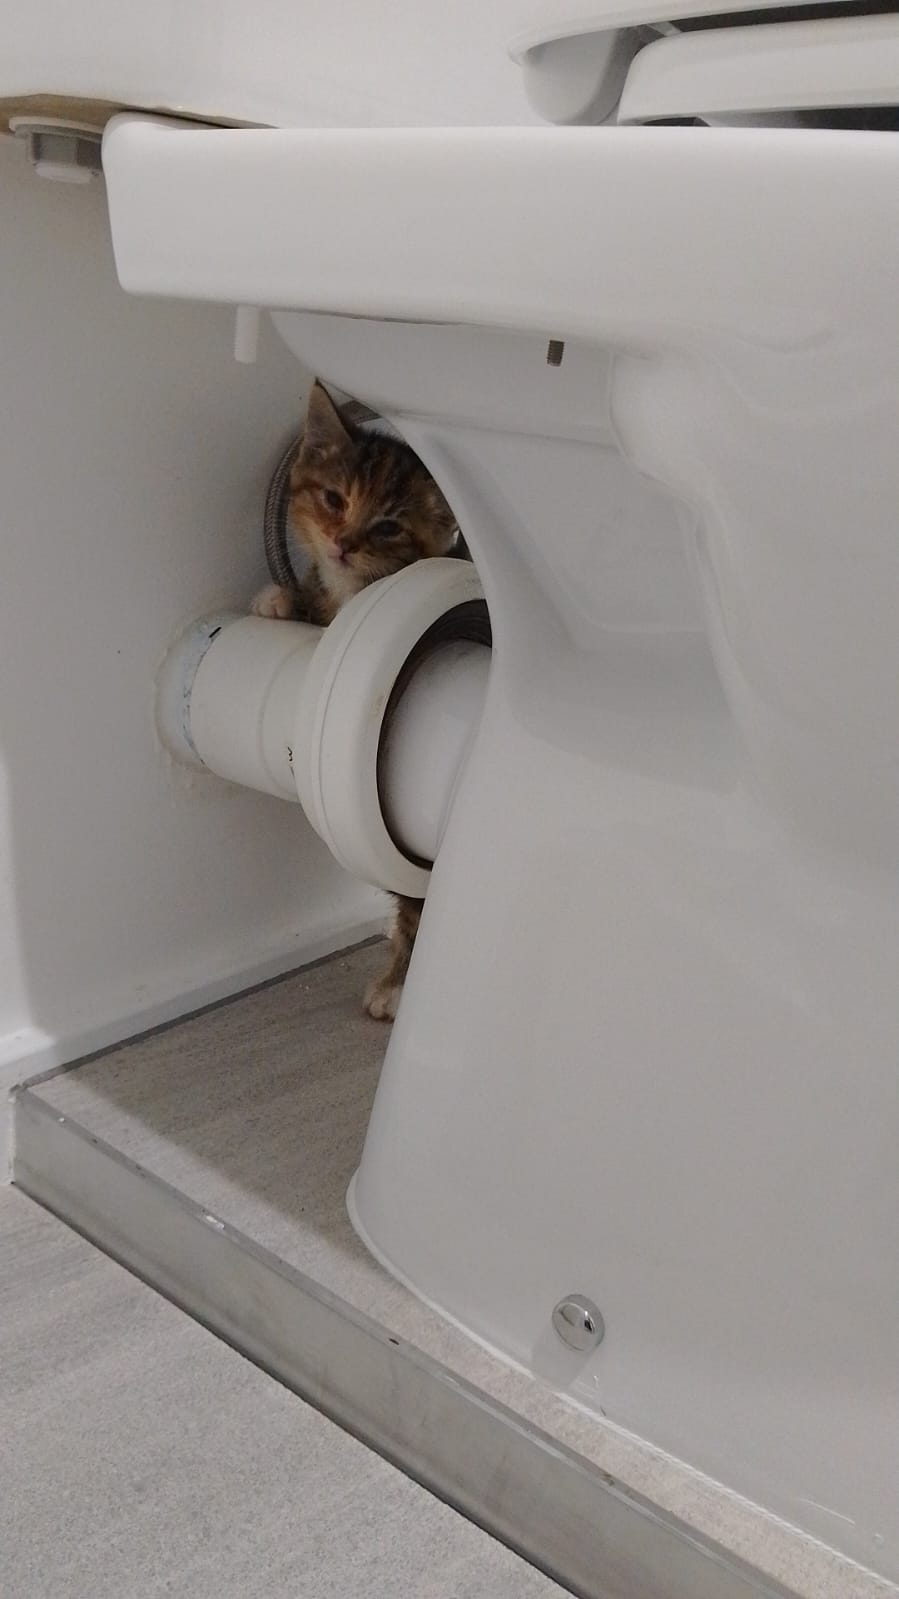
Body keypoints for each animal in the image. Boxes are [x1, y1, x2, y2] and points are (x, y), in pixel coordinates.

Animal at [252, 380, 457, 1016]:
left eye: (388, 527)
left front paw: (399, 984)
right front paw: (284, 599)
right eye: (334, 499)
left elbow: (418, 906)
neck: (353, 591)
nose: (342, 544)